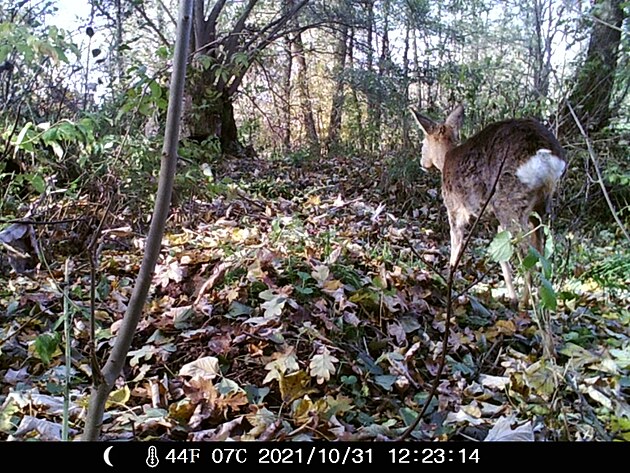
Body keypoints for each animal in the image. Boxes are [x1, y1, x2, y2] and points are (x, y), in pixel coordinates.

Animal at [412, 103, 572, 306]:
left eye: (423, 142)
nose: (422, 162)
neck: (446, 158)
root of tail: (545, 155)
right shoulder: (494, 220)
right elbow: (502, 257)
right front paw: (510, 295)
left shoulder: (455, 207)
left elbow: (455, 246)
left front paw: (449, 279)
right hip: (541, 205)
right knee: (540, 251)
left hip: (509, 201)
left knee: (527, 251)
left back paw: (525, 303)